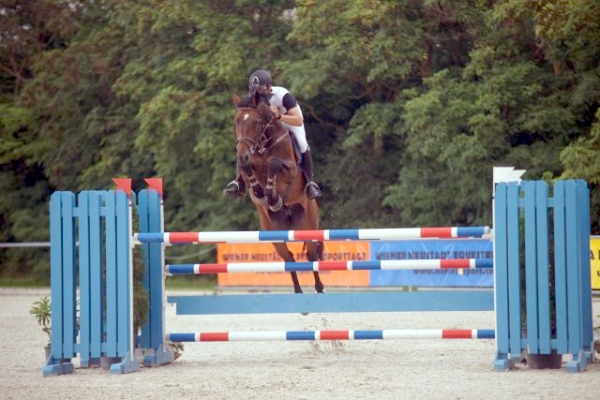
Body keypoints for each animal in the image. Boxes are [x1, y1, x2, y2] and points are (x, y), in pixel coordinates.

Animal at [232, 91, 324, 294]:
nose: (242, 154)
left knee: (312, 256)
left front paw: (272, 195)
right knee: (288, 258)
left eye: (256, 121)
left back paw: (319, 288)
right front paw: (260, 191)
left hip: (308, 224)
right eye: (236, 122)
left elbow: (274, 164)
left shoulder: (290, 170)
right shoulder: (250, 163)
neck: (264, 144)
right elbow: (248, 170)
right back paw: (298, 291)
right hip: (274, 232)